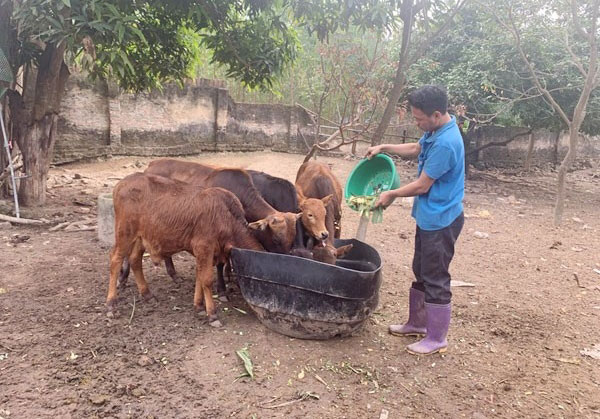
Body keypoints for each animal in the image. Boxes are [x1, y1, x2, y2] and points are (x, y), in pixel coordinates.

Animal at [107, 172, 264, 326]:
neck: (227, 217)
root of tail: (121, 183)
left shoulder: (205, 253)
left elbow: (199, 276)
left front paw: (199, 306)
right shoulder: (204, 247)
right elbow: (206, 279)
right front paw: (212, 314)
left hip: (141, 238)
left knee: (135, 260)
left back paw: (147, 294)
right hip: (125, 233)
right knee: (115, 260)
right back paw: (111, 303)